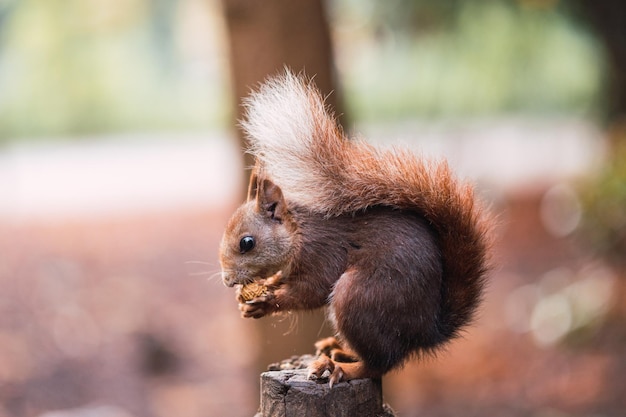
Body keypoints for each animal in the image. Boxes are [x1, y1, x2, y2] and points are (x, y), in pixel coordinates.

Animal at [217, 70, 490, 386]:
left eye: (247, 243)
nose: (227, 280)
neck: (299, 234)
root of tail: (426, 332)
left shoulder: (322, 253)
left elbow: (310, 292)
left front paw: (268, 300)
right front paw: (261, 291)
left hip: (359, 297)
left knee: (379, 364)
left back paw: (340, 367)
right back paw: (337, 350)